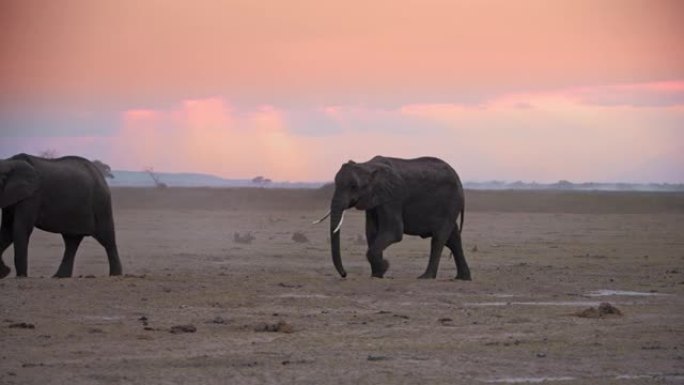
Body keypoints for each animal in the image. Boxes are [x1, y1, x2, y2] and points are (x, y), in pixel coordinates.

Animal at [316, 156, 470, 280]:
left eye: (354, 186)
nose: (344, 274)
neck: (367, 165)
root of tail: (459, 181)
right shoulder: (374, 200)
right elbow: (371, 233)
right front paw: (377, 274)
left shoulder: (393, 196)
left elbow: (393, 232)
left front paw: (384, 267)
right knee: (453, 239)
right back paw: (462, 278)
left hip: (450, 203)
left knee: (439, 238)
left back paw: (425, 277)